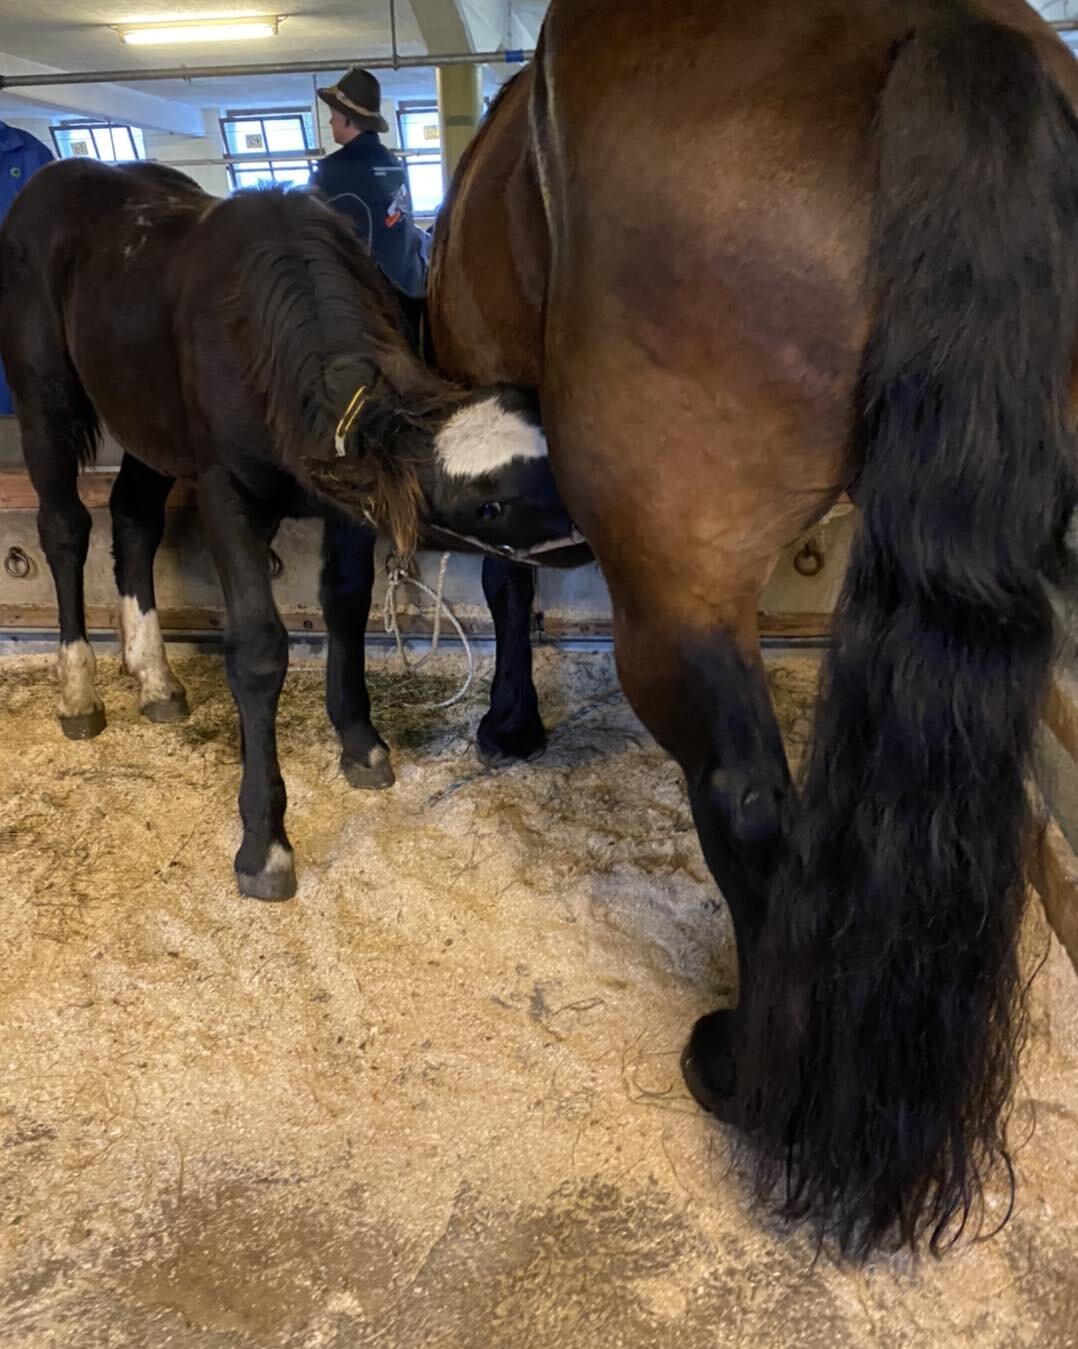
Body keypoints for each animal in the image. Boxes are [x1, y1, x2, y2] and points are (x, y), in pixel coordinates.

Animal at [0, 155, 577, 895]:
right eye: (490, 506)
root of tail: (54, 179)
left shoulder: (347, 502)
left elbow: (346, 604)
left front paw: (361, 742)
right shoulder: (225, 494)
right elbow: (256, 648)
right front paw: (264, 841)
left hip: (147, 426)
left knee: (133, 518)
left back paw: (153, 675)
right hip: (44, 404)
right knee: (66, 527)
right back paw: (79, 691)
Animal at [429, 2, 1078, 1251]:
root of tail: (944, 25)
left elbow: (507, 585)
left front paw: (510, 720)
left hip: (676, 587)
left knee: (748, 806)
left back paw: (747, 1077)